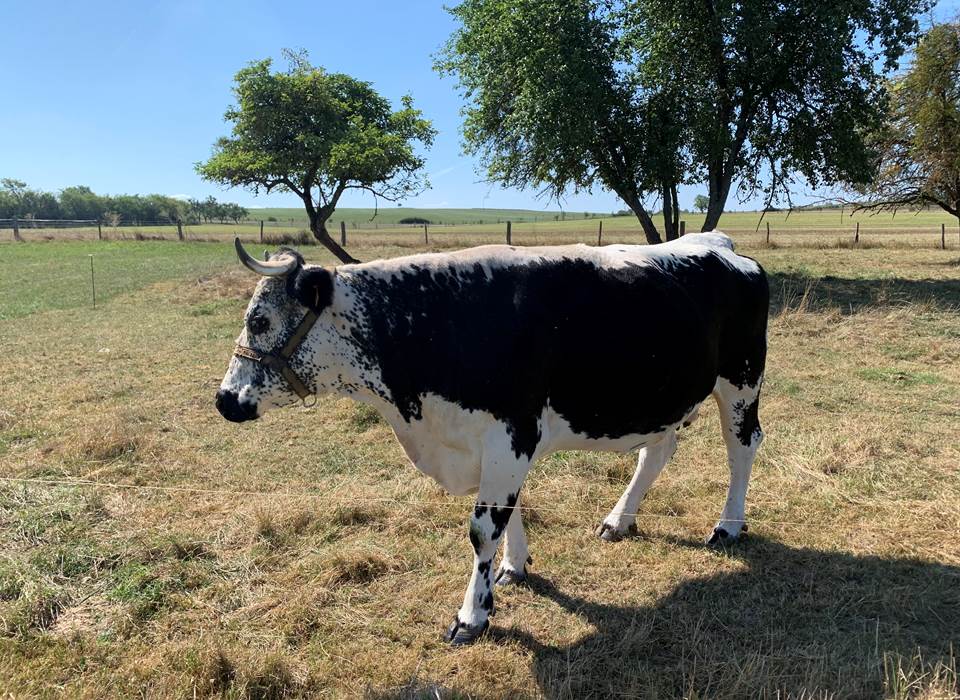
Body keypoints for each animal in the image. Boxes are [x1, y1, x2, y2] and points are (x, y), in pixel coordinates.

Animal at [216, 232, 768, 645]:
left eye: (259, 319)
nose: (224, 400)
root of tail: (718, 243)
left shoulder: (510, 433)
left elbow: (484, 527)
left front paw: (472, 617)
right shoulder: (490, 445)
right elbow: (509, 512)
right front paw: (514, 567)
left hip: (740, 382)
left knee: (743, 449)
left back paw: (727, 527)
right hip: (663, 397)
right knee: (658, 450)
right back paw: (618, 520)